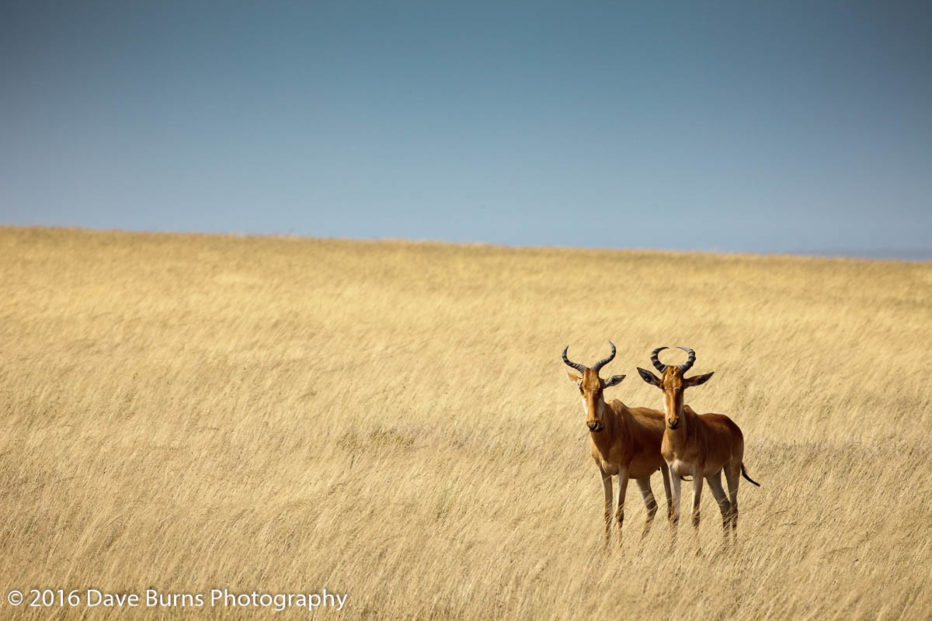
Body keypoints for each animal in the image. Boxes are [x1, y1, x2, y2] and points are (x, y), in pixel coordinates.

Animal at [560, 342, 668, 544]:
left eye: (601, 387)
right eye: (581, 387)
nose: (593, 424)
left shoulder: (622, 471)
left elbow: (619, 512)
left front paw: (620, 549)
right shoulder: (604, 472)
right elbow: (607, 512)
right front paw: (606, 549)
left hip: (666, 470)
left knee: (672, 508)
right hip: (642, 476)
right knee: (652, 506)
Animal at [636, 346, 760, 544]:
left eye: (682, 385)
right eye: (663, 385)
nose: (673, 421)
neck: (680, 443)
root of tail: (731, 424)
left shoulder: (697, 474)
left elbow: (695, 515)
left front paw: (698, 551)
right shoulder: (674, 473)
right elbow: (674, 514)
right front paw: (671, 548)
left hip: (731, 468)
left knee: (734, 507)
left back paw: (733, 547)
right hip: (713, 475)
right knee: (724, 505)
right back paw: (724, 548)